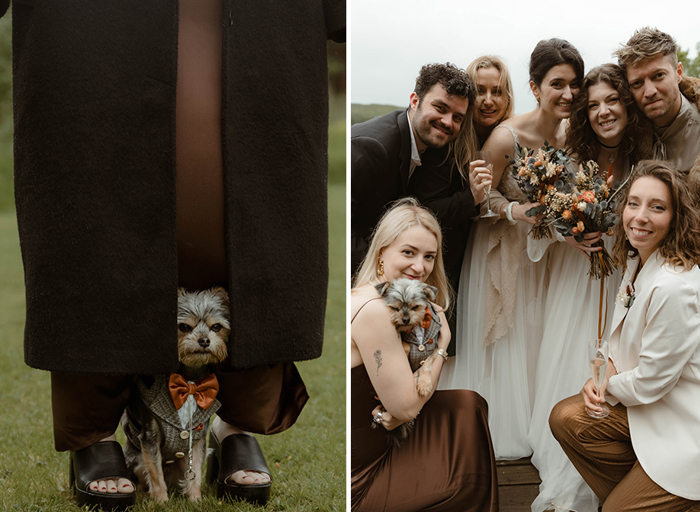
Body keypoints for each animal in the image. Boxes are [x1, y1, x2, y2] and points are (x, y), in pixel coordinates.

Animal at [121, 286, 230, 502]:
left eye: (216, 327)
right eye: (184, 327)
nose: (204, 340)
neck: (189, 382)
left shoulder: (197, 440)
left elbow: (196, 473)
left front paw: (195, 500)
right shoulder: (149, 438)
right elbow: (155, 474)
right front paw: (161, 501)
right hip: (136, 461)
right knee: (143, 479)